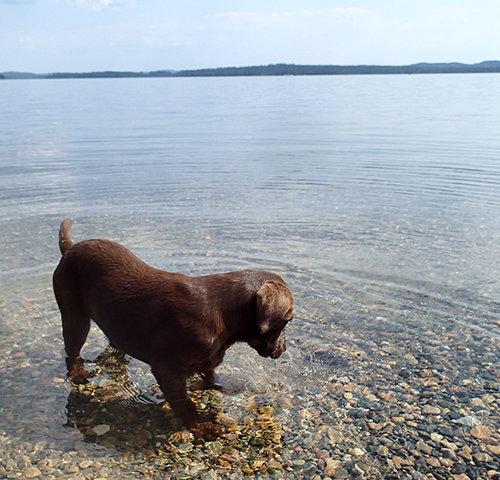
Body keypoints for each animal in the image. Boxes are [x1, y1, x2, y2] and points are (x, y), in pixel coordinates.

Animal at [52, 219, 292, 434]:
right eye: (287, 320)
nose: (284, 349)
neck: (222, 317)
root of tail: (70, 247)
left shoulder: (207, 361)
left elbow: (210, 379)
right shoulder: (168, 371)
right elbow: (185, 404)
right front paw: (201, 426)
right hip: (75, 317)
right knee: (71, 353)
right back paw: (78, 374)